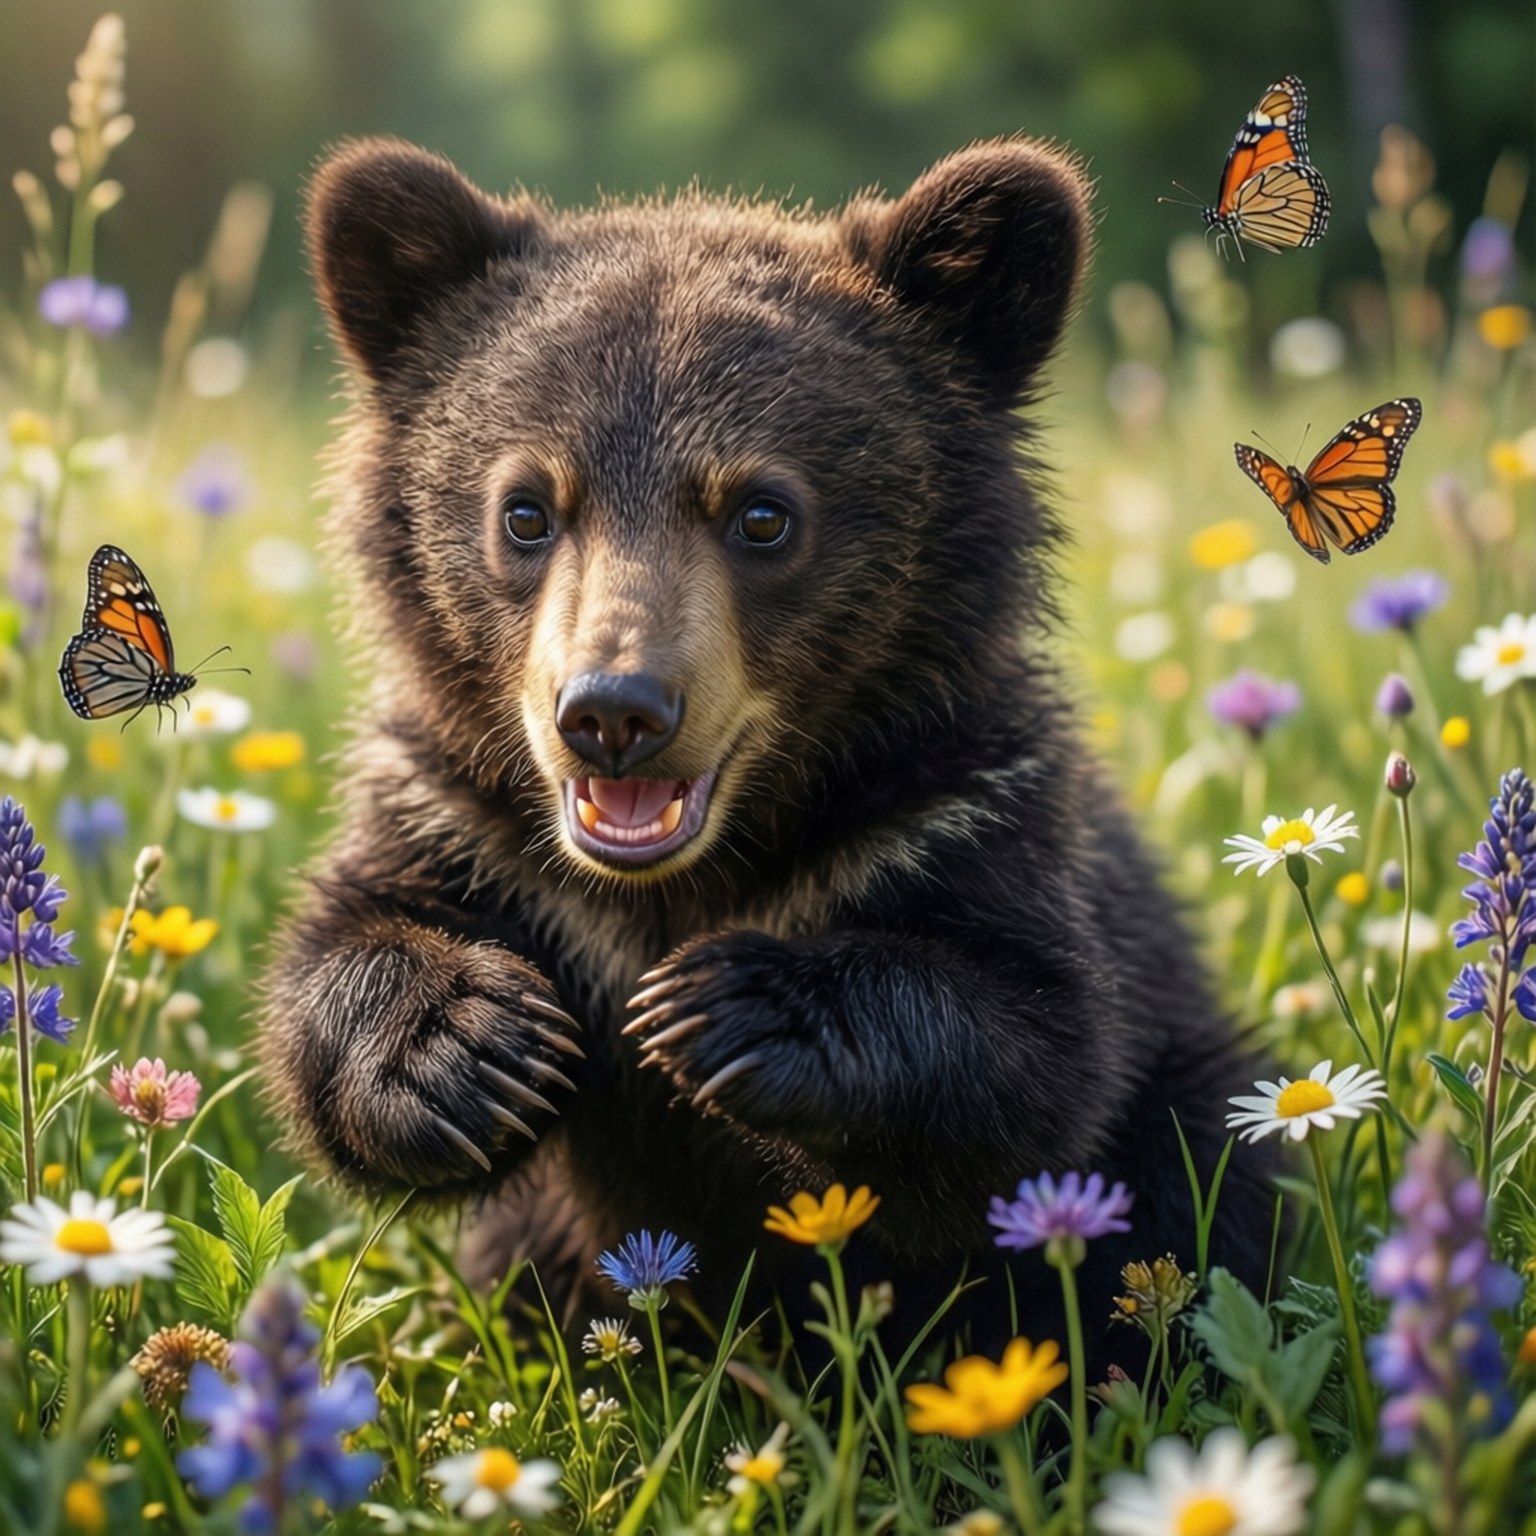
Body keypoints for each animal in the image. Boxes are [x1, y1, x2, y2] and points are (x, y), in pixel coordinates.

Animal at [264, 134, 1276, 1359]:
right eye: (526, 509)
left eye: (761, 513)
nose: (613, 711)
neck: (681, 879)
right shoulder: (465, 818)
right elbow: (340, 957)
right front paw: (470, 1045)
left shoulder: (954, 809)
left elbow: (1033, 1043)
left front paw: (726, 1009)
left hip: (1194, 1093)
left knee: (1213, 1178)